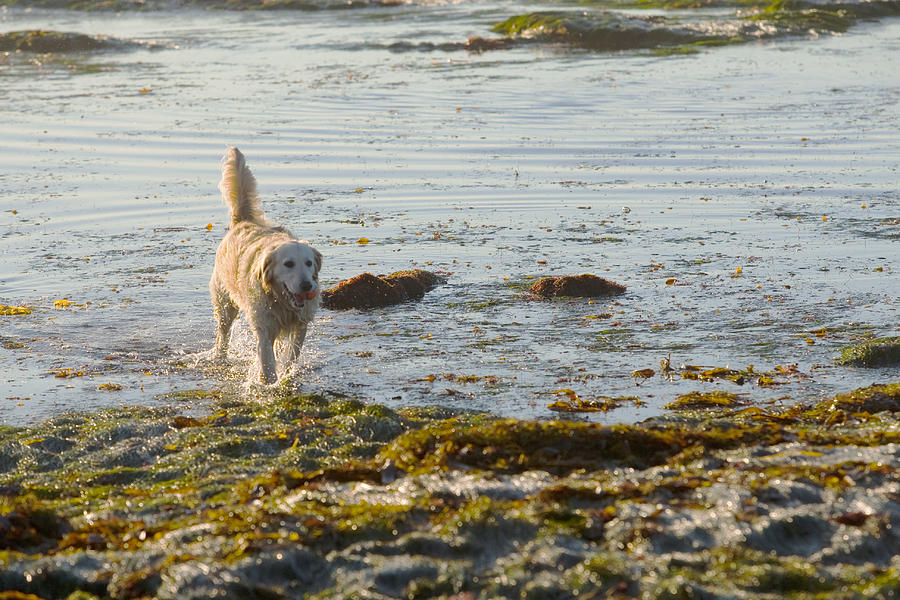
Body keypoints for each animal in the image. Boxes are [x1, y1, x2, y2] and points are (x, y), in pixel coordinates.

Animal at [209, 147, 322, 382]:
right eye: (288, 264)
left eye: (309, 263)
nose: (307, 285)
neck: (281, 301)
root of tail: (243, 221)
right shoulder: (263, 326)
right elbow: (267, 362)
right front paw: (269, 383)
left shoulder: (301, 324)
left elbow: (291, 355)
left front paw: (285, 374)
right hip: (225, 305)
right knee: (222, 335)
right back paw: (219, 355)